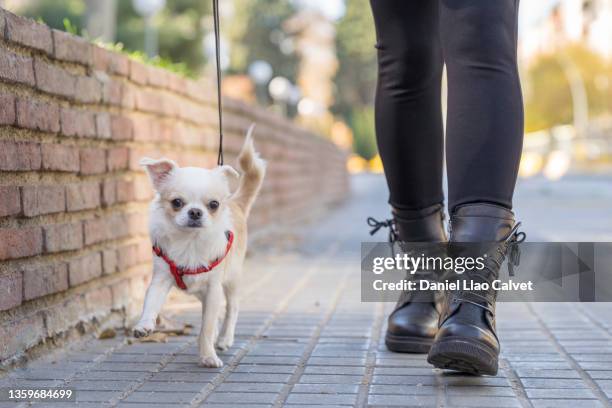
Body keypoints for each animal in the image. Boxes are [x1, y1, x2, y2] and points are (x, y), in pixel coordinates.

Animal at [134, 124, 266, 366]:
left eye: (213, 204)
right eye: (177, 202)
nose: (195, 212)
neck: (189, 241)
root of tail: (235, 202)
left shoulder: (214, 288)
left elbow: (207, 326)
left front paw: (208, 356)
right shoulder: (161, 279)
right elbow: (151, 303)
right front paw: (144, 325)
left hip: (231, 279)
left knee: (232, 308)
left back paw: (223, 339)